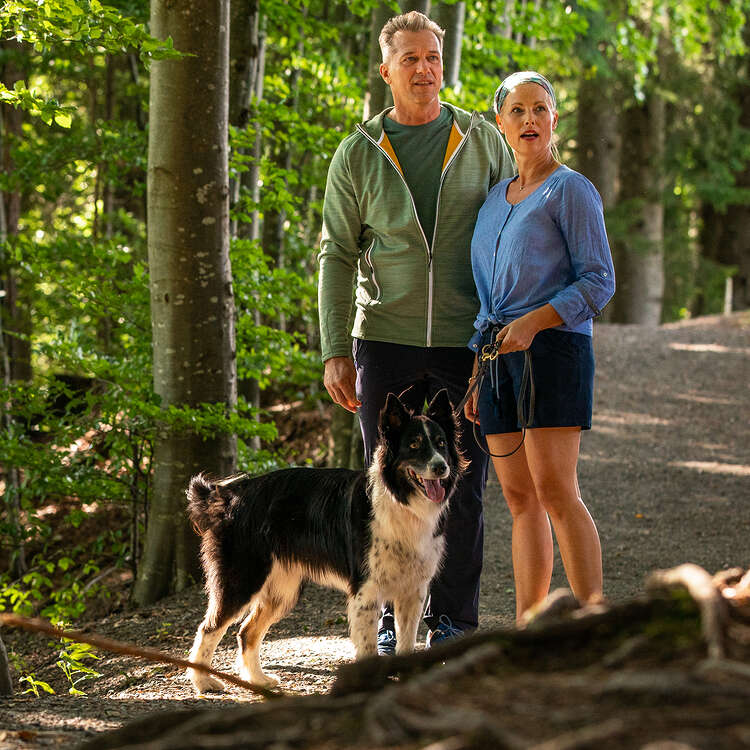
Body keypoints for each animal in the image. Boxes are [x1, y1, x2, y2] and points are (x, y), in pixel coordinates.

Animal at [185, 390, 464, 696]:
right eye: (414, 445)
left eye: (441, 443)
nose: (441, 467)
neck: (401, 501)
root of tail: (228, 497)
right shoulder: (366, 591)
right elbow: (368, 646)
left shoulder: (413, 591)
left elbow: (407, 644)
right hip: (243, 580)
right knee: (208, 628)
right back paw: (204, 682)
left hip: (282, 589)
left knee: (246, 632)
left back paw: (258, 680)